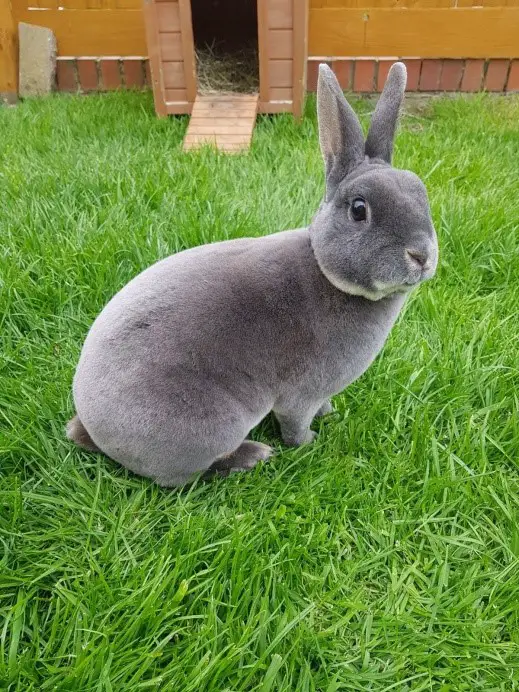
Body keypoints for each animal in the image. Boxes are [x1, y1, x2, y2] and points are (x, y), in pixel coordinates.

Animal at [66, 63, 438, 486]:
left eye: (423, 194)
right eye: (360, 210)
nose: (421, 255)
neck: (326, 273)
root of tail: (97, 432)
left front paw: (331, 414)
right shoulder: (300, 395)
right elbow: (295, 425)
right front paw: (309, 441)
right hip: (211, 424)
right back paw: (253, 455)